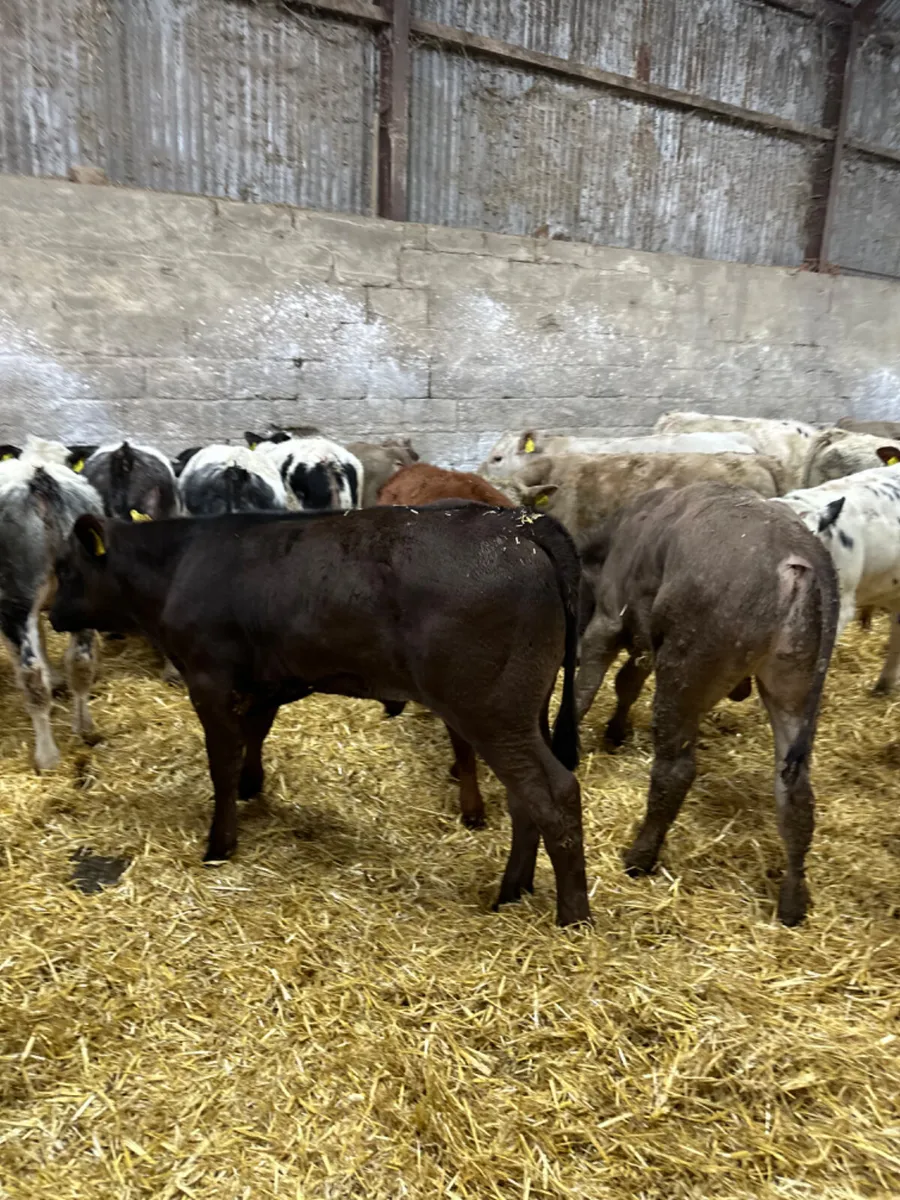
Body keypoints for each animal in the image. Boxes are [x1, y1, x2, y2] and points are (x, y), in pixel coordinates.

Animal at [0, 438, 103, 770]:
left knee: (31, 676)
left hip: (15, 599)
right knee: (80, 663)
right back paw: (84, 728)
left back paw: (46, 756)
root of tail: (39, 480)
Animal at [49, 504, 590, 925]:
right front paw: (252, 787)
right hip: (522, 712)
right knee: (525, 798)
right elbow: (254, 736)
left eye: (66, 569)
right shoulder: (265, 680)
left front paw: (220, 844)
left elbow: (221, 763)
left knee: (554, 793)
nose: (51, 615)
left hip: (491, 711)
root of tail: (521, 523)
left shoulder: (209, 680)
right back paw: (512, 892)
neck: (180, 563)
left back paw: (572, 918)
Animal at [574, 482, 838, 925]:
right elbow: (627, 682)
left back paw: (639, 858)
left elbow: (586, 687)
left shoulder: (608, 620)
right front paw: (615, 731)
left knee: (675, 771)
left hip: (685, 673)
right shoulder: (645, 643)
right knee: (795, 793)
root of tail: (797, 557)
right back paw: (792, 902)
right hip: (794, 691)